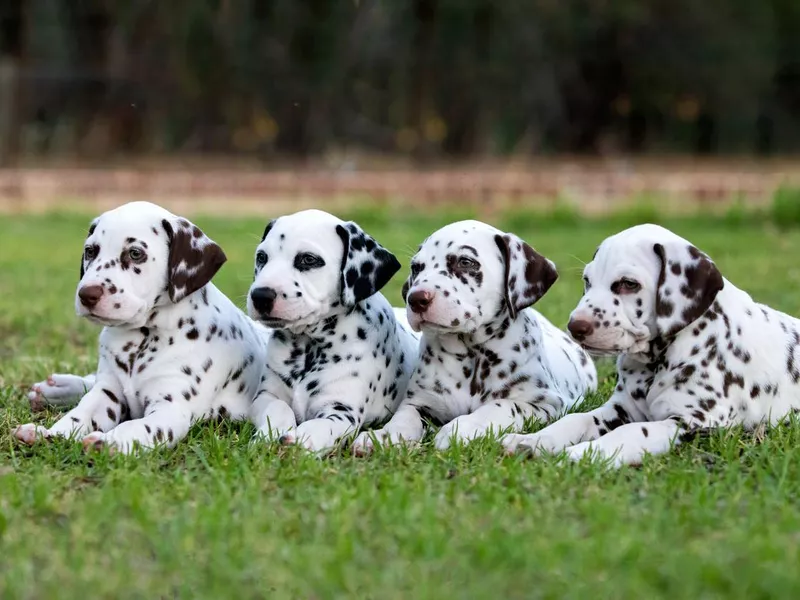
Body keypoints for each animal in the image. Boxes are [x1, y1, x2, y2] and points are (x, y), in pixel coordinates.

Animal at [14, 199, 270, 452]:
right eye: (90, 251)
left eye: (135, 253)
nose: (87, 294)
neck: (142, 339)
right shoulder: (107, 393)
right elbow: (80, 413)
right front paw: (49, 433)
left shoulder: (170, 409)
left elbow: (136, 427)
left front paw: (109, 442)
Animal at [245, 209, 418, 452]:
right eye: (262, 257)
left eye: (308, 259)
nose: (260, 296)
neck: (308, 347)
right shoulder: (266, 395)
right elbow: (278, 408)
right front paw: (269, 434)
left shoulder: (341, 411)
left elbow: (321, 425)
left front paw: (301, 439)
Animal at [354, 220, 596, 454]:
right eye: (416, 268)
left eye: (465, 262)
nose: (415, 299)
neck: (472, 357)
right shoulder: (419, 402)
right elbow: (403, 418)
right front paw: (383, 436)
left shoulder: (545, 402)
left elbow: (499, 406)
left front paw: (459, 429)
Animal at [504, 223, 800, 466]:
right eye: (587, 281)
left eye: (628, 284)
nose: (575, 326)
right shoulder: (622, 407)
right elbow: (577, 418)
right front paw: (533, 440)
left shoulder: (695, 423)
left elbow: (633, 431)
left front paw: (584, 453)